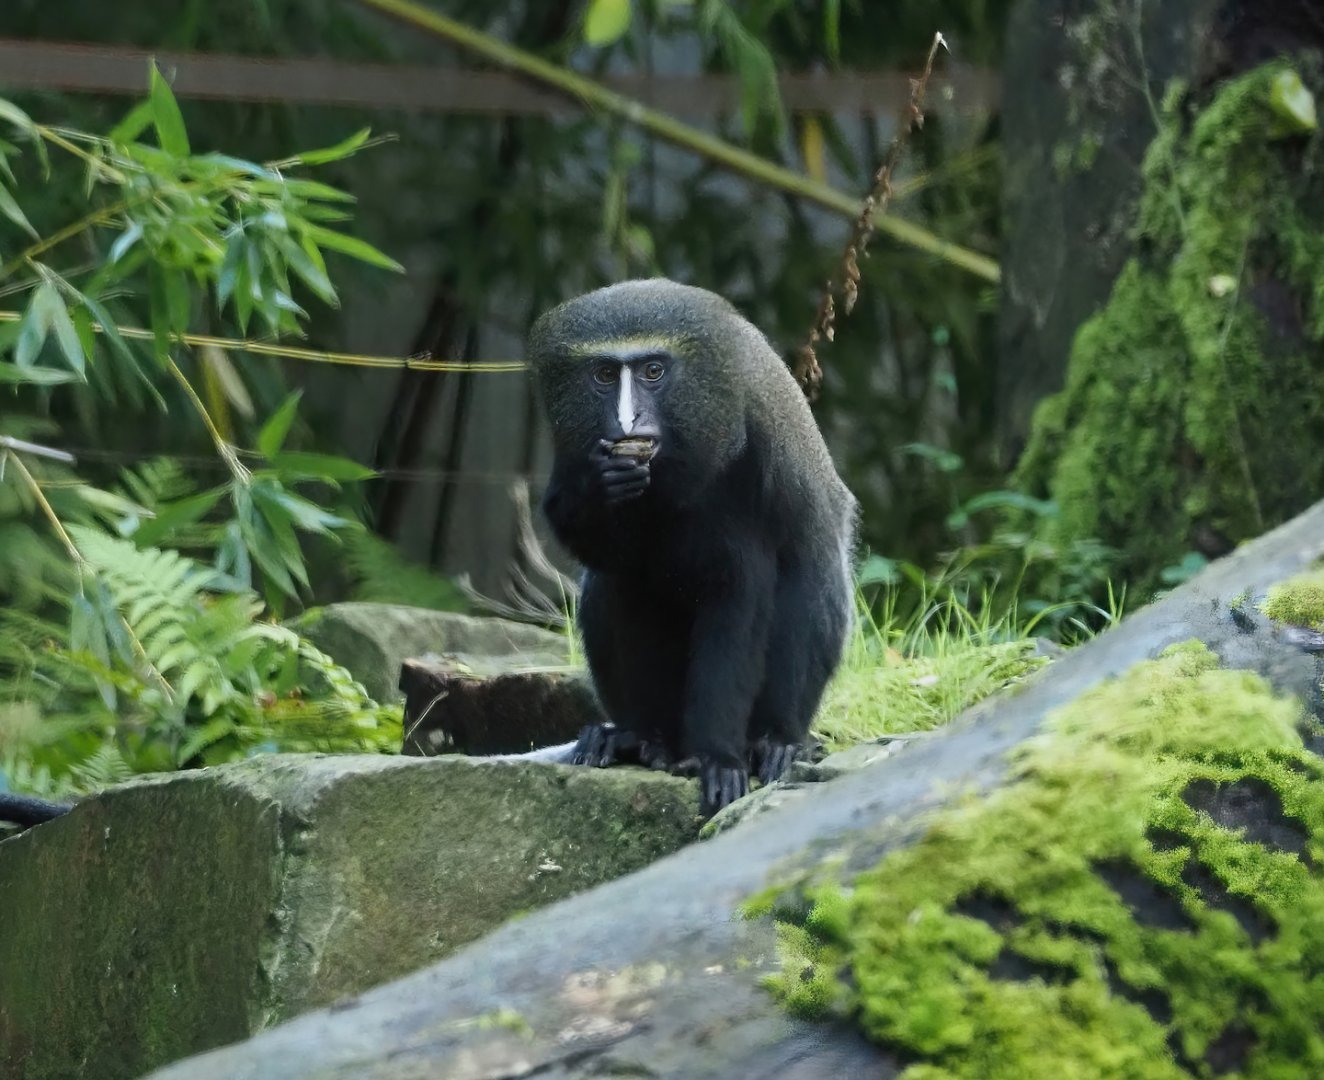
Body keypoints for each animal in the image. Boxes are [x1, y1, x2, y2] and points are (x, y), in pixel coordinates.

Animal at [527, 279, 858, 817]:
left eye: (653, 371)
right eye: (604, 374)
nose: (628, 421)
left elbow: (741, 599)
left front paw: (718, 759)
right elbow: (606, 553)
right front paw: (602, 486)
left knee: (813, 579)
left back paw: (773, 742)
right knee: (614, 583)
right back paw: (640, 739)